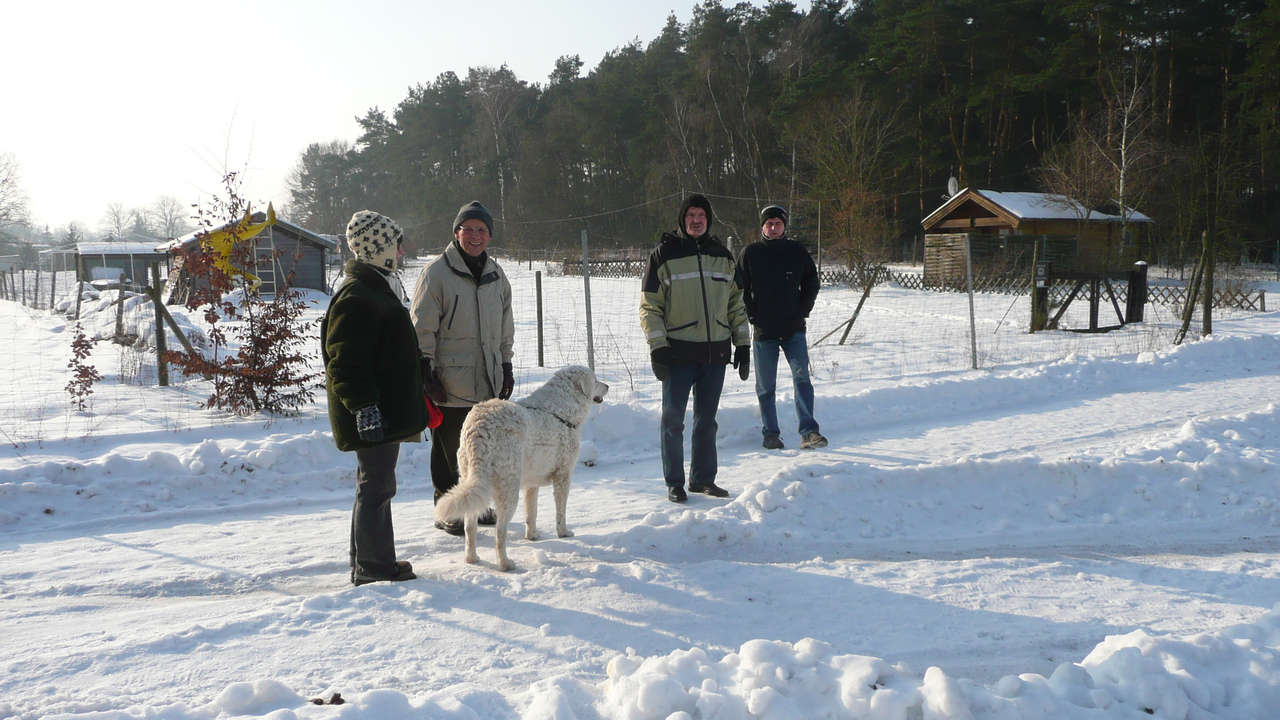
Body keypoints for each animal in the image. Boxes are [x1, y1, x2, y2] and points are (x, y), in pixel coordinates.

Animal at [432, 366, 606, 568]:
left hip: (471, 479)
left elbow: (531, 513)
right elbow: (561, 512)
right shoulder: (563, 477)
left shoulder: (532, 484)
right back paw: (506, 564)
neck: (561, 411)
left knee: (470, 526)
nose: (608, 386)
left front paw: (532, 536)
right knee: (500, 532)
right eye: (595, 380)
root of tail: (479, 428)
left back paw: (472, 558)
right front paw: (564, 533)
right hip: (509, 489)